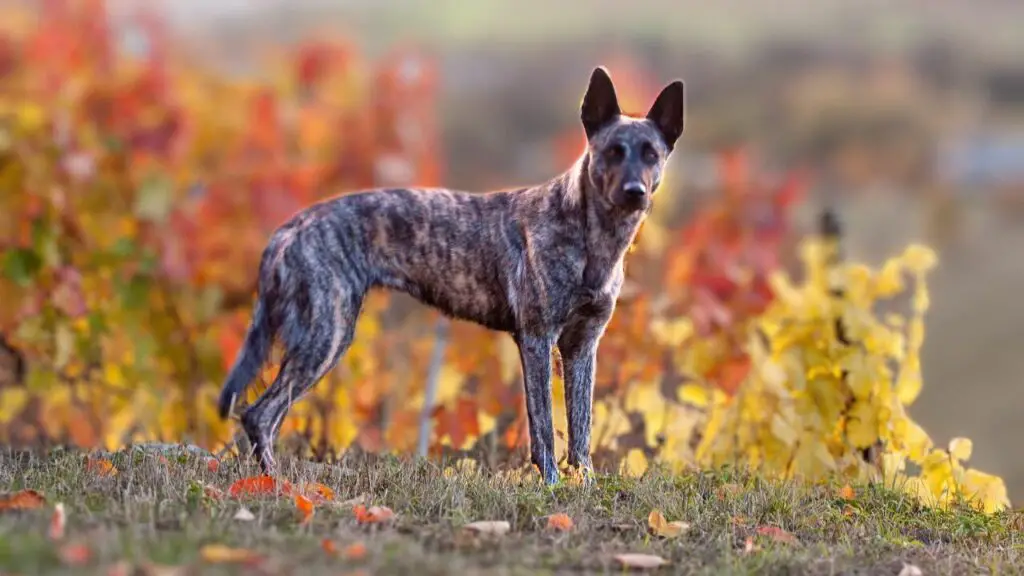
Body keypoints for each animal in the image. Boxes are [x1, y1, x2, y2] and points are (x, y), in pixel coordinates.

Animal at [217, 65, 684, 481]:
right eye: (612, 151)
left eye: (651, 154)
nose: (635, 193)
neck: (590, 237)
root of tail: (291, 227)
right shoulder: (536, 340)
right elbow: (544, 430)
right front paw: (551, 485)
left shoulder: (582, 347)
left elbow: (581, 428)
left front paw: (583, 484)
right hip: (325, 338)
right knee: (260, 415)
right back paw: (277, 484)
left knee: (267, 416)